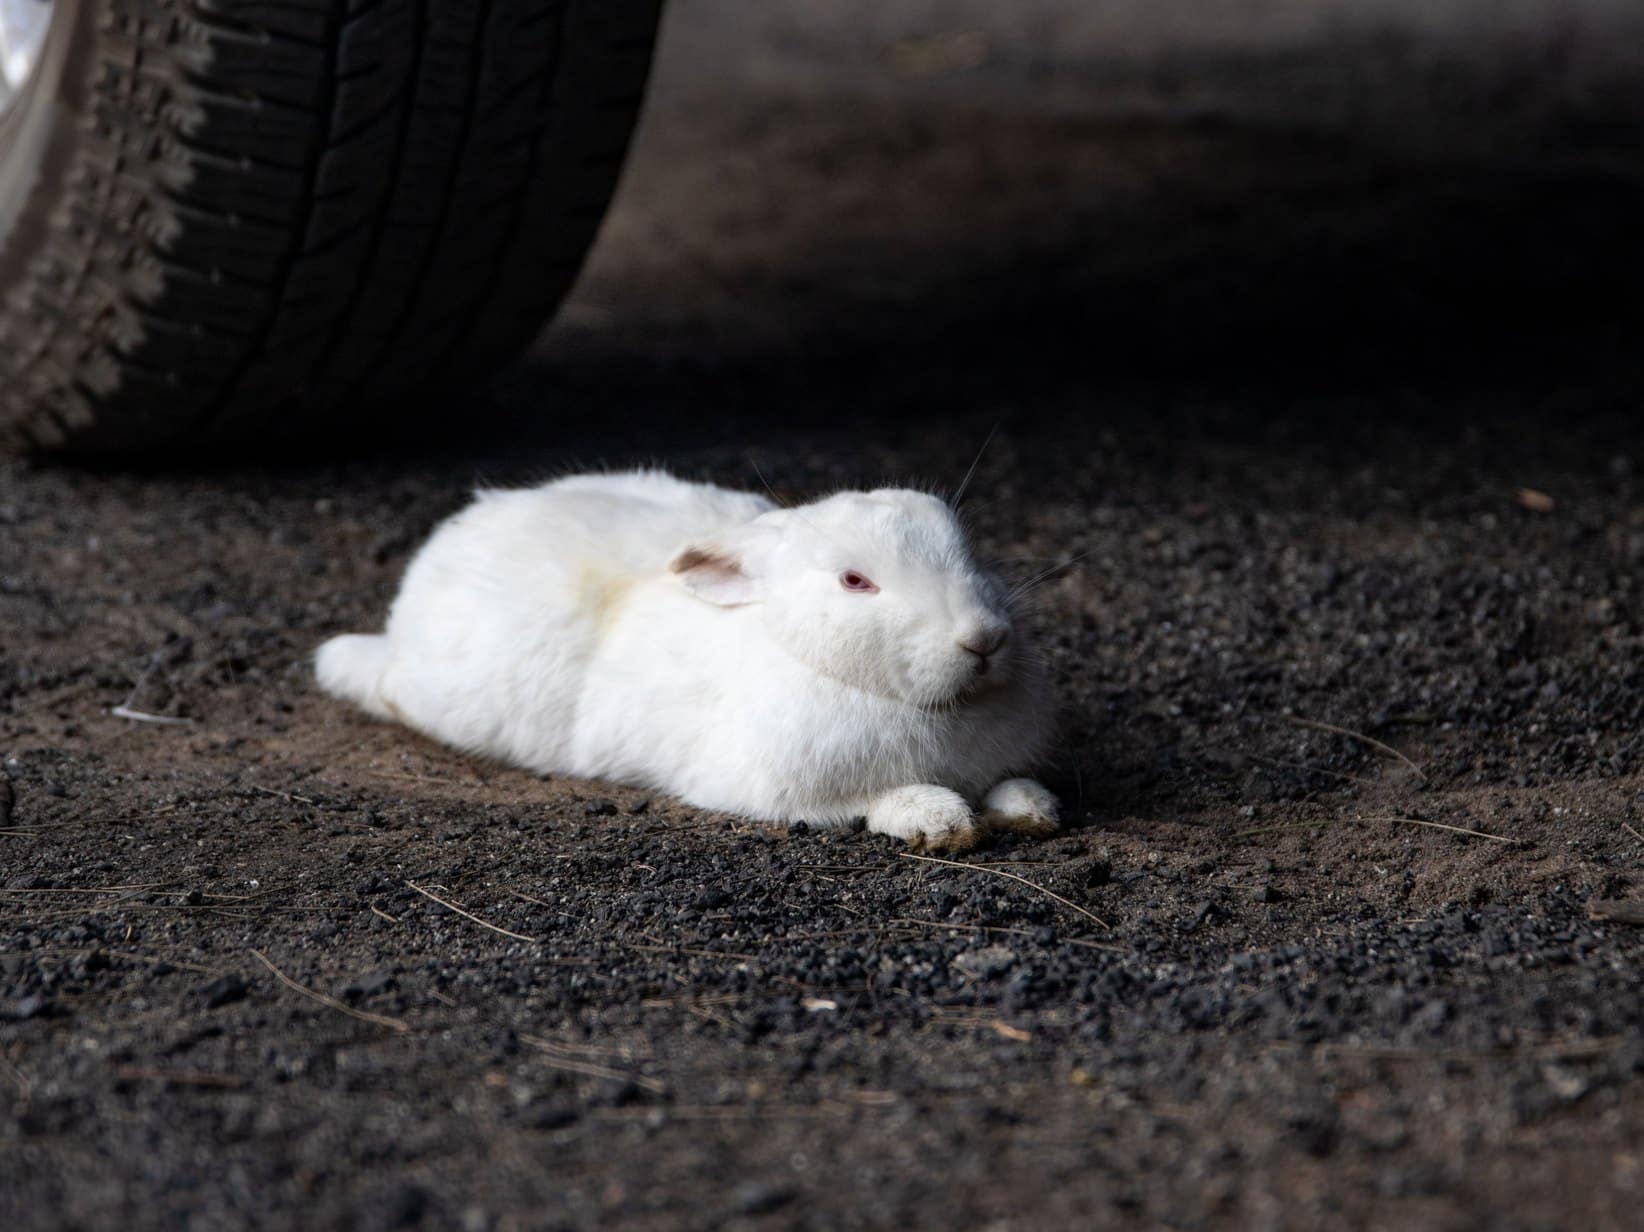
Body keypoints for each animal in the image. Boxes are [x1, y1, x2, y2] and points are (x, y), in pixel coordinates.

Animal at [315, 469, 1059, 850]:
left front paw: (1032, 808)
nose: (983, 638)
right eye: (855, 581)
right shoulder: (786, 790)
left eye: (967, 549)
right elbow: (876, 801)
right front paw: (939, 821)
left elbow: (1012, 787)